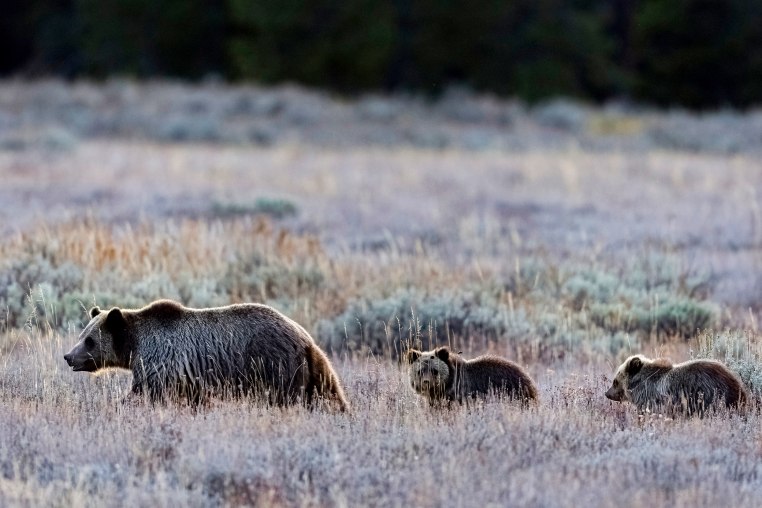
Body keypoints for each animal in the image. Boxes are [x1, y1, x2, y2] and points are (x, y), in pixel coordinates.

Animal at [63, 300, 348, 410]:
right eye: (82, 335)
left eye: (89, 340)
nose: (68, 357)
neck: (134, 345)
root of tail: (304, 337)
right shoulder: (189, 379)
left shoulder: (162, 363)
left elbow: (143, 393)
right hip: (314, 367)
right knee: (328, 392)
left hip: (274, 364)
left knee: (285, 396)